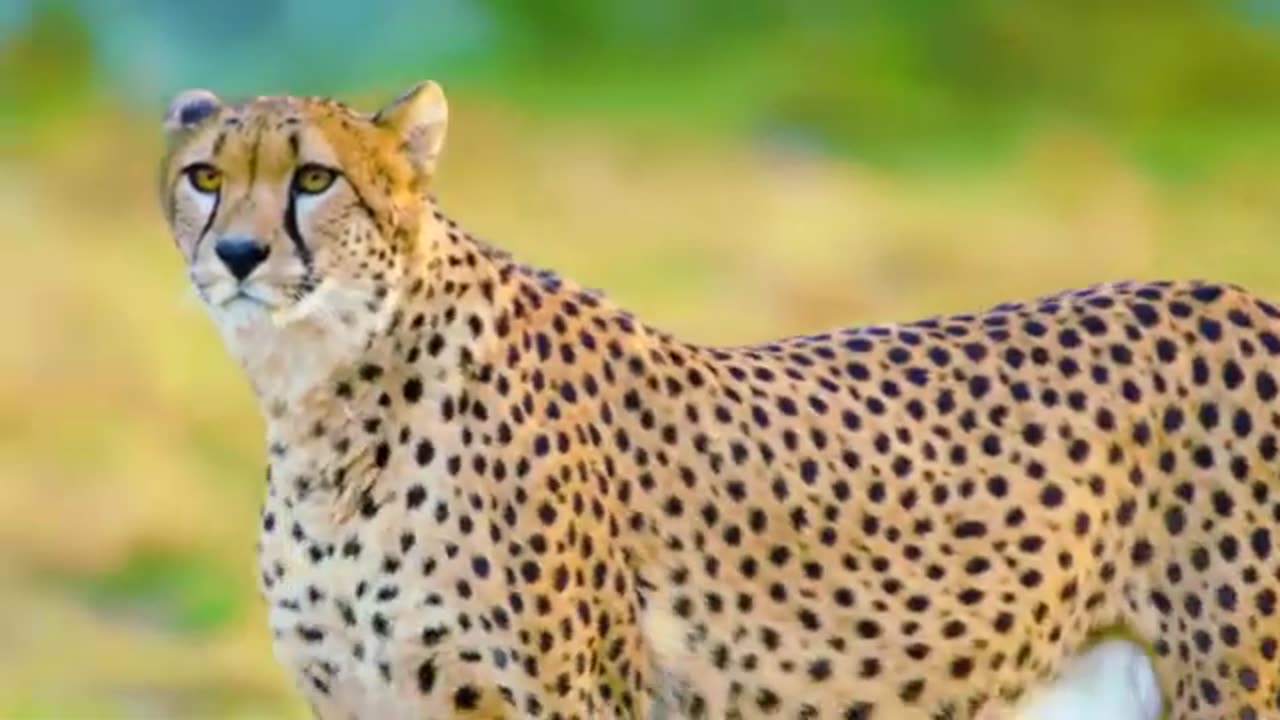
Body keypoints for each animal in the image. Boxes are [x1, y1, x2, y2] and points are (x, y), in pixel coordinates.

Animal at [158, 79, 1280, 719]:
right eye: (205, 176)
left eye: (313, 179)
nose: (239, 253)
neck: (325, 401)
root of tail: (1235, 295)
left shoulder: (573, 704)